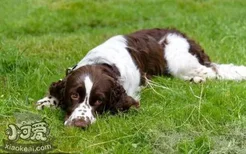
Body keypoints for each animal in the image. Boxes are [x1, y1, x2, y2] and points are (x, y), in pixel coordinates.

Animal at [35, 28, 246, 128]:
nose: (79, 125)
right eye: (73, 96)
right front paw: (47, 101)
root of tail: (185, 36)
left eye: (99, 101)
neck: (103, 63)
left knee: (212, 71)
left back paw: (199, 79)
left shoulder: (129, 96)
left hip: (179, 61)